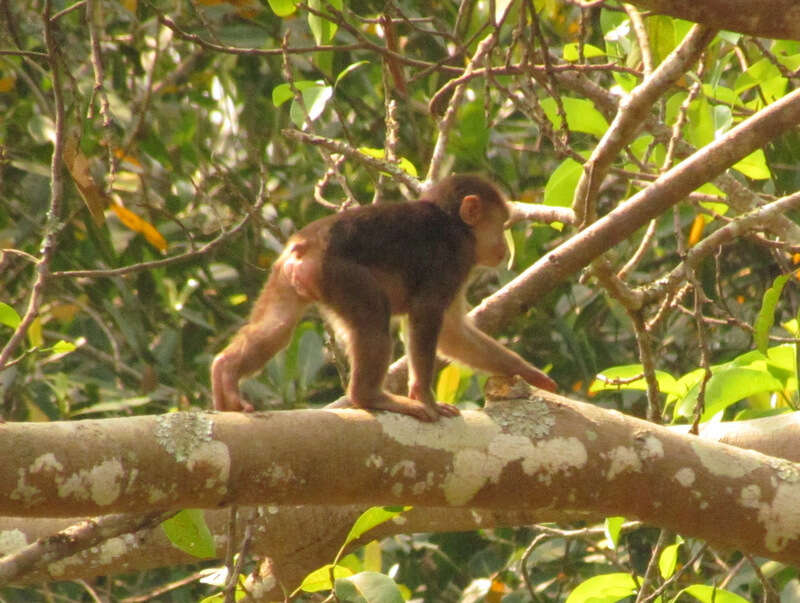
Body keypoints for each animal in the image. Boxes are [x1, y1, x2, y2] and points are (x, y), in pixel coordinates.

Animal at [211, 172, 556, 422]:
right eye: (500, 225)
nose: (504, 247)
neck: (456, 225)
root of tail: (304, 246)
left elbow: (452, 333)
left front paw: (530, 375)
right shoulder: (455, 256)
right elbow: (426, 313)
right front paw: (424, 396)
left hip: (286, 275)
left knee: (279, 327)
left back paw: (225, 371)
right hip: (337, 273)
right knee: (374, 318)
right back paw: (369, 396)